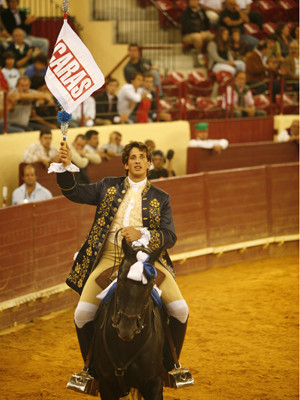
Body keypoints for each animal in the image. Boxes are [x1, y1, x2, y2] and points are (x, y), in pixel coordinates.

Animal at [93, 241, 165, 400]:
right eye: (120, 279)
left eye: (150, 285)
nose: (126, 330)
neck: (125, 347)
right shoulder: (106, 384)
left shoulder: (154, 383)